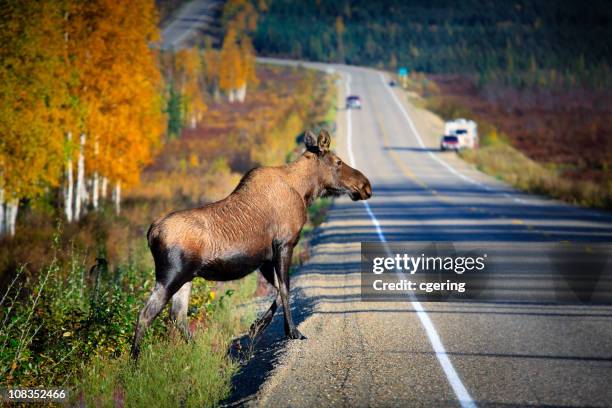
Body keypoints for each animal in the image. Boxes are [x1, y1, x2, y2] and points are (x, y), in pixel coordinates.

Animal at [131, 129, 370, 358]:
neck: (304, 192)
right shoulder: (284, 244)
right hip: (171, 276)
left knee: (177, 316)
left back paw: (197, 351)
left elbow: (279, 290)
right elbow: (285, 288)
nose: (365, 186)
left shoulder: (265, 258)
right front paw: (292, 331)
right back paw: (134, 362)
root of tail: (151, 233)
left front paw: (257, 326)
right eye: (338, 161)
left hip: (186, 277)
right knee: (145, 314)